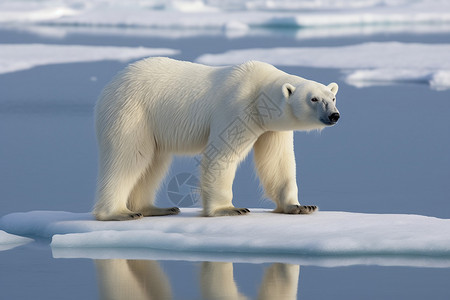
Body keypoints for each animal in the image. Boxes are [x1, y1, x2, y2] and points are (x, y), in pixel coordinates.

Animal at [93, 57, 340, 220]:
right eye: (314, 99)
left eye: (333, 97)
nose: (334, 115)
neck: (258, 91)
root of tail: (110, 84)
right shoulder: (237, 107)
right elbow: (222, 155)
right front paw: (229, 209)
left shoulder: (271, 128)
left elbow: (278, 161)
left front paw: (300, 206)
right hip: (133, 112)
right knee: (129, 158)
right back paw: (119, 212)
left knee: (153, 163)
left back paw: (154, 208)